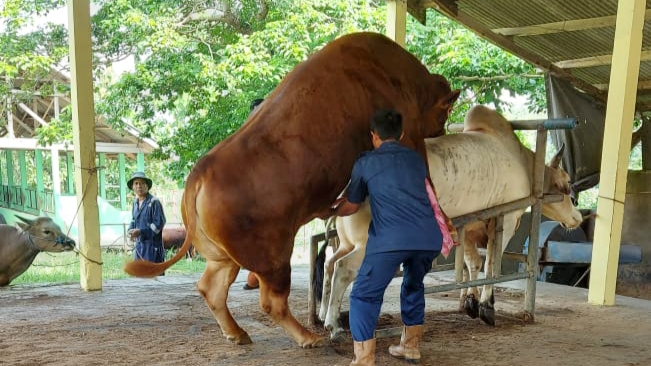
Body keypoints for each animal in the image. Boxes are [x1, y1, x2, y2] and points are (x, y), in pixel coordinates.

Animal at [125, 32, 460, 348]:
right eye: (444, 113)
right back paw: (307, 337)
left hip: (223, 257)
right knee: (270, 302)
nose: (442, 129)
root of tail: (200, 173)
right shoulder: (410, 136)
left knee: (211, 288)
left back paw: (238, 333)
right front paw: (446, 221)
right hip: (274, 259)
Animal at [318, 103, 584, 340]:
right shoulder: (505, 219)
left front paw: (470, 302)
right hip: (369, 246)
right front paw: (486, 306)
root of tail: (350, 187)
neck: (525, 165)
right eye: (567, 183)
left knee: (329, 264)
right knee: (343, 268)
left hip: (348, 242)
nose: (578, 217)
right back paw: (334, 325)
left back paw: (322, 315)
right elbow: (492, 264)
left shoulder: (465, 225)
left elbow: (472, 263)